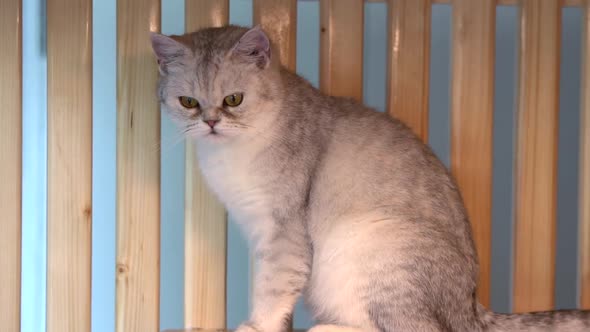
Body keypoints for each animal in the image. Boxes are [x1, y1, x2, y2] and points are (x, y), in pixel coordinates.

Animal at [151, 24, 590, 330]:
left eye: (233, 100)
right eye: (188, 102)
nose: (210, 122)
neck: (231, 153)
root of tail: (471, 309)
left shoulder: (283, 231)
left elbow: (272, 286)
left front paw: (256, 326)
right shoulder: (259, 230)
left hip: (371, 243)